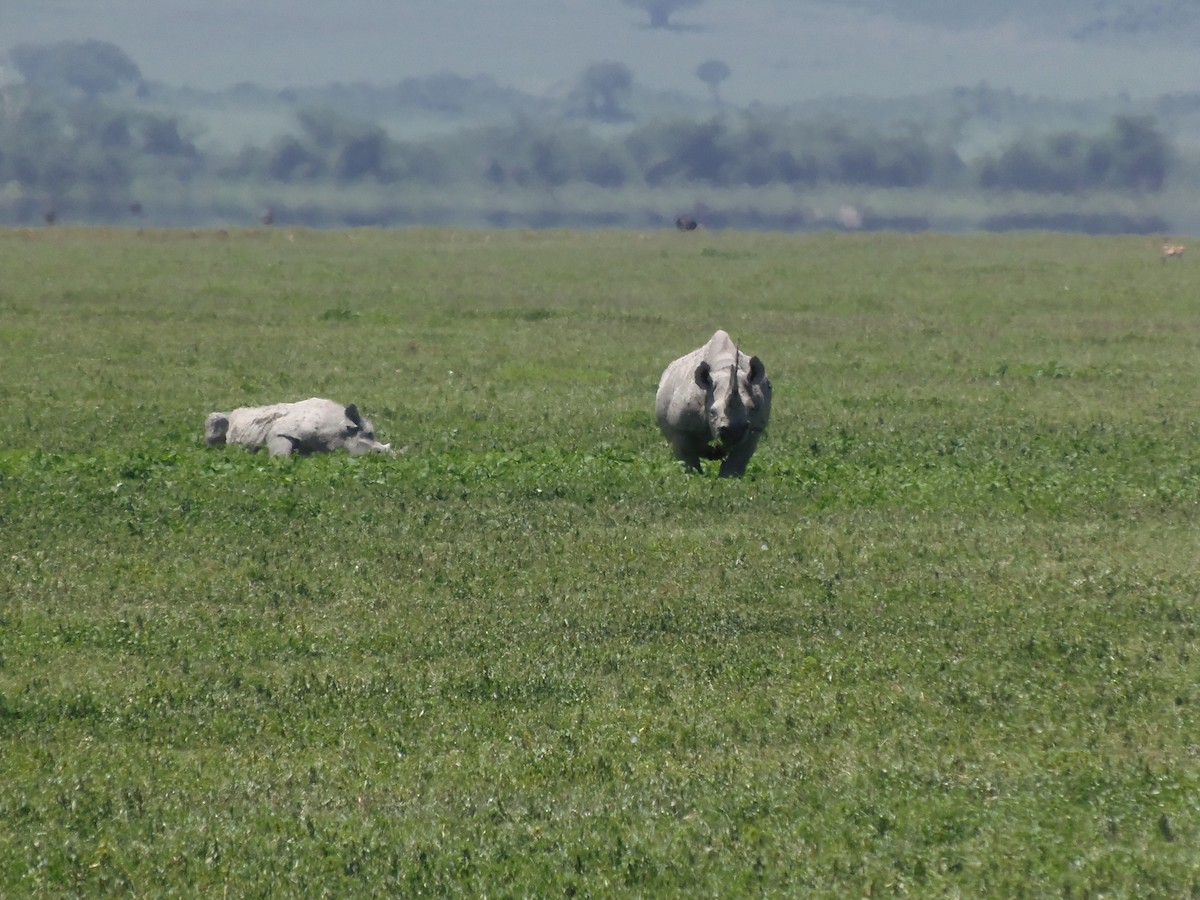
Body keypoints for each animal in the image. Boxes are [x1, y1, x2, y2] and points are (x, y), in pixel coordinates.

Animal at [655, 330, 772, 477]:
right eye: (712, 412)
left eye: (752, 408)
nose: (734, 432)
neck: (724, 369)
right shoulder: (681, 426)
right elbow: (687, 456)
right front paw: (695, 475)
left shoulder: (754, 428)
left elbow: (738, 459)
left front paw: (728, 478)